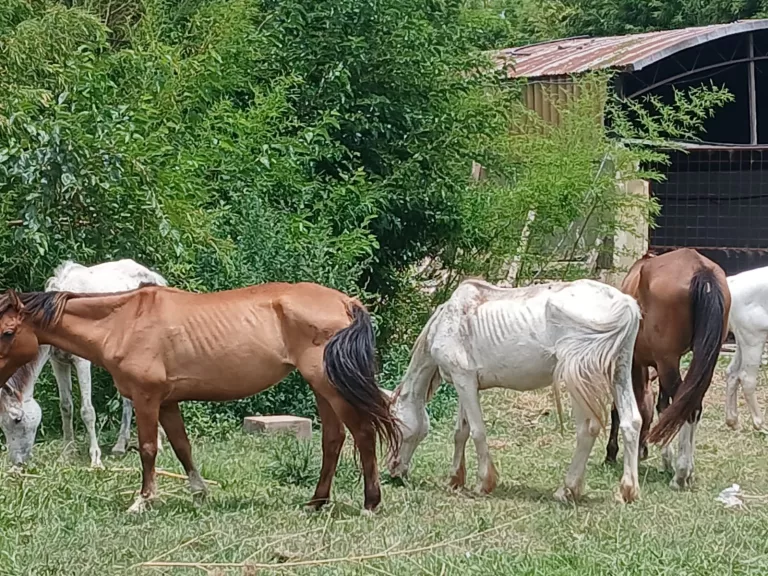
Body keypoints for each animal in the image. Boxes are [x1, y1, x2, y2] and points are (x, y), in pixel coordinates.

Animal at [0, 259, 168, 468]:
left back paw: (158, 443)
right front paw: (67, 453)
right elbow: (66, 407)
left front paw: (95, 459)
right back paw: (120, 446)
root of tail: (156, 278)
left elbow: (87, 410)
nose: (17, 463)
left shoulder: (82, 362)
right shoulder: (58, 363)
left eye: (17, 419)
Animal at [0, 282, 399, 513]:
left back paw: (370, 503)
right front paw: (199, 491)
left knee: (363, 434)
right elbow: (181, 446)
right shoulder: (166, 401)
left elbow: (149, 449)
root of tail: (346, 302)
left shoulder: (147, 398)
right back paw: (316, 502)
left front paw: (143, 500)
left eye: (7, 332)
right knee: (333, 440)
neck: (122, 322)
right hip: (322, 389)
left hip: (330, 386)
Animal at [387, 277, 643, 503]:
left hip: (579, 378)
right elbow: (461, 431)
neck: (450, 319)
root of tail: (626, 304)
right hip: (619, 372)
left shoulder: (464, 380)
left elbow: (477, 431)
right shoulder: (465, 382)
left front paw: (484, 482)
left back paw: (567, 489)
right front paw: (455, 479)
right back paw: (627, 491)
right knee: (631, 422)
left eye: (395, 428)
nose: (393, 471)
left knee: (587, 430)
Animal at [604, 248, 730, 490]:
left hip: (667, 361)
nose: (643, 450)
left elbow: (623, 406)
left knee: (688, 407)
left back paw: (681, 474)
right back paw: (686, 470)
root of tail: (700, 269)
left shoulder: (635, 363)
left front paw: (612, 452)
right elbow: (664, 407)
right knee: (691, 405)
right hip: (697, 360)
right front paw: (666, 458)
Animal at [724, 265, 768, 432]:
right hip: (754, 338)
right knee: (746, 378)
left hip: (742, 339)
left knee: (732, 372)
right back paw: (761, 424)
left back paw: (733, 421)